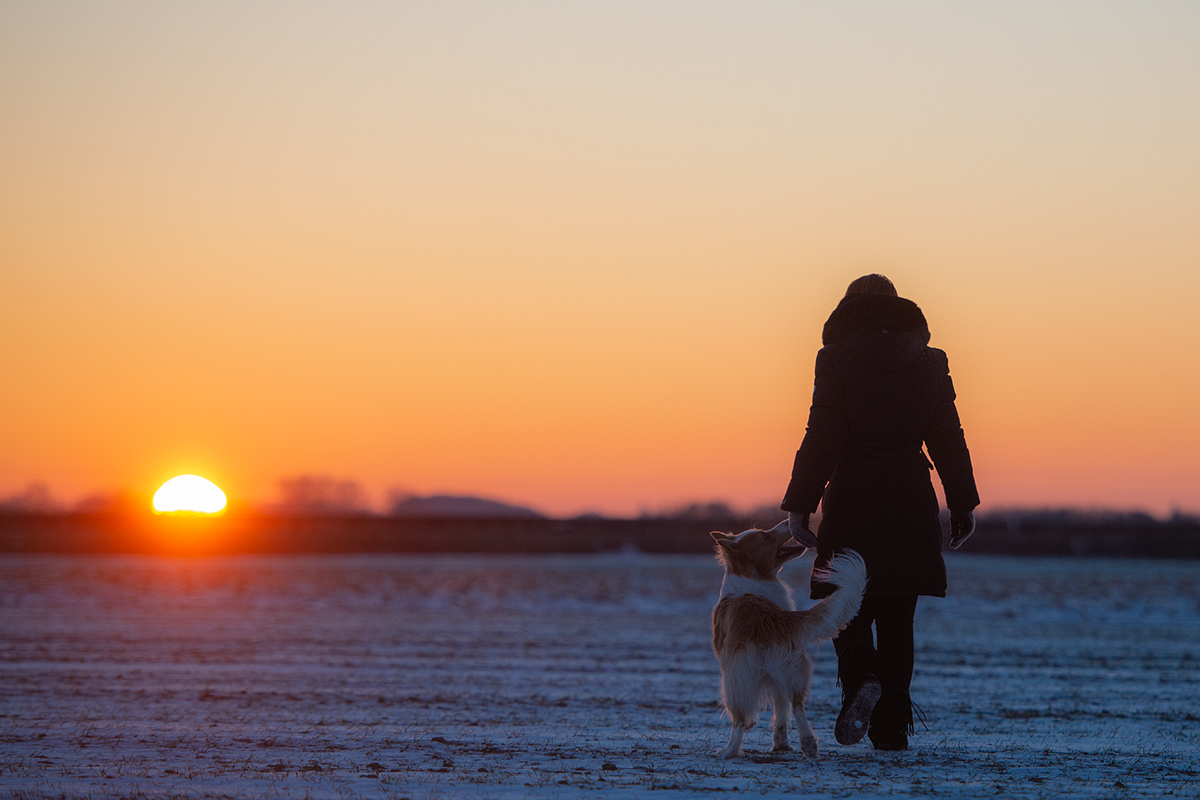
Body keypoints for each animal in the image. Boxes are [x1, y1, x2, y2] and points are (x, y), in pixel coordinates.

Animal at [705, 515, 868, 762]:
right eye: (765, 536)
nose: (786, 520)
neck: (749, 576)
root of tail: (767, 618)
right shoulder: (776, 679)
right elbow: (781, 709)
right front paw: (781, 744)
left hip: (734, 679)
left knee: (739, 717)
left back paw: (729, 750)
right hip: (792, 668)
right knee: (797, 703)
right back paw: (808, 744)